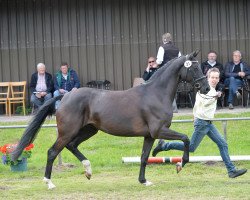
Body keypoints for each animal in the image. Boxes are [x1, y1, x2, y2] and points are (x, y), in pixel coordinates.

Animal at [12, 50, 210, 188]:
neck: (156, 93)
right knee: (53, 152)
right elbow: (185, 138)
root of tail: (66, 95)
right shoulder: (159, 130)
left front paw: (144, 181)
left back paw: (88, 170)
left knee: (72, 146)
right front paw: (180, 165)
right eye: (194, 67)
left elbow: (144, 157)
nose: (207, 88)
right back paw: (49, 182)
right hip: (68, 131)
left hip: (88, 130)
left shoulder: (149, 135)